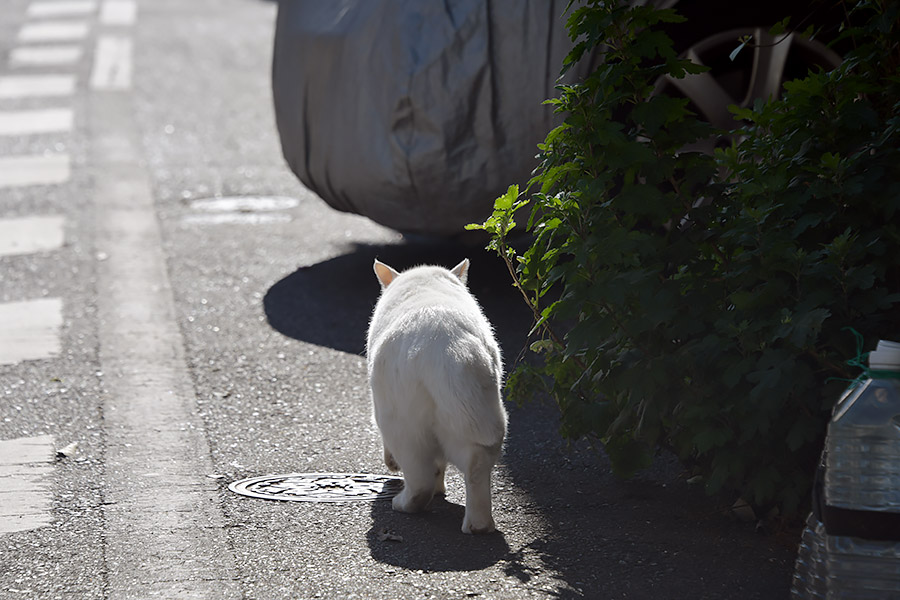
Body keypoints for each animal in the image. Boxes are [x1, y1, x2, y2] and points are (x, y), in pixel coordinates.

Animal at [366, 258, 506, 536]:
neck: (425, 282)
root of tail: (451, 350)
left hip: (402, 425)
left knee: (419, 479)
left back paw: (403, 503)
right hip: (485, 418)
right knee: (475, 468)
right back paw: (479, 526)